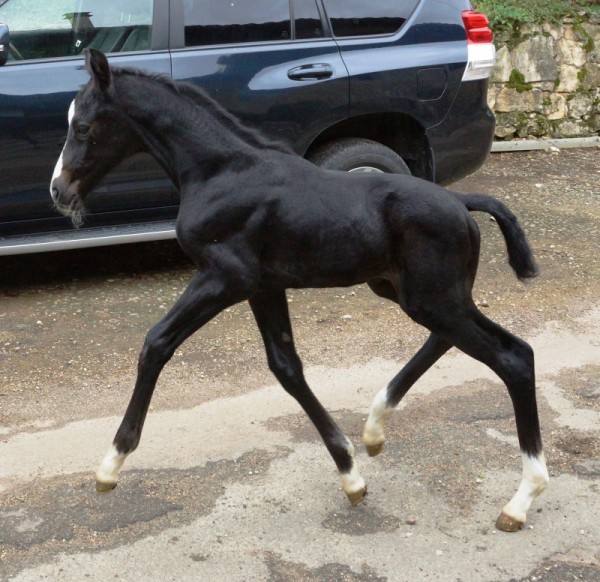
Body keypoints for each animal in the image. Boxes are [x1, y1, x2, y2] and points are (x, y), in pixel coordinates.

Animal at [51, 51, 548, 532]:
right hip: (412, 293)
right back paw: (374, 428)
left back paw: (522, 499)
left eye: (83, 126)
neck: (221, 173)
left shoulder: (223, 277)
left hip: (434, 298)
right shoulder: (263, 286)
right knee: (455, 341)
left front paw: (110, 465)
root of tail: (462, 203)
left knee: (514, 356)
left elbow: (156, 344)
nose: (58, 191)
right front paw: (350, 474)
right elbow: (286, 367)